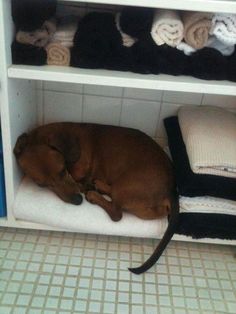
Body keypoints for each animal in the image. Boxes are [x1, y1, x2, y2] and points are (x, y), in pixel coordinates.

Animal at [13, 121, 178, 274]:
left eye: (62, 170)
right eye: (41, 185)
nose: (77, 200)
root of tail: (170, 191)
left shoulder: (78, 172)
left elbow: (79, 180)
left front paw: (85, 187)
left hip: (123, 187)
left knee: (116, 214)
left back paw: (94, 194)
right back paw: (99, 186)